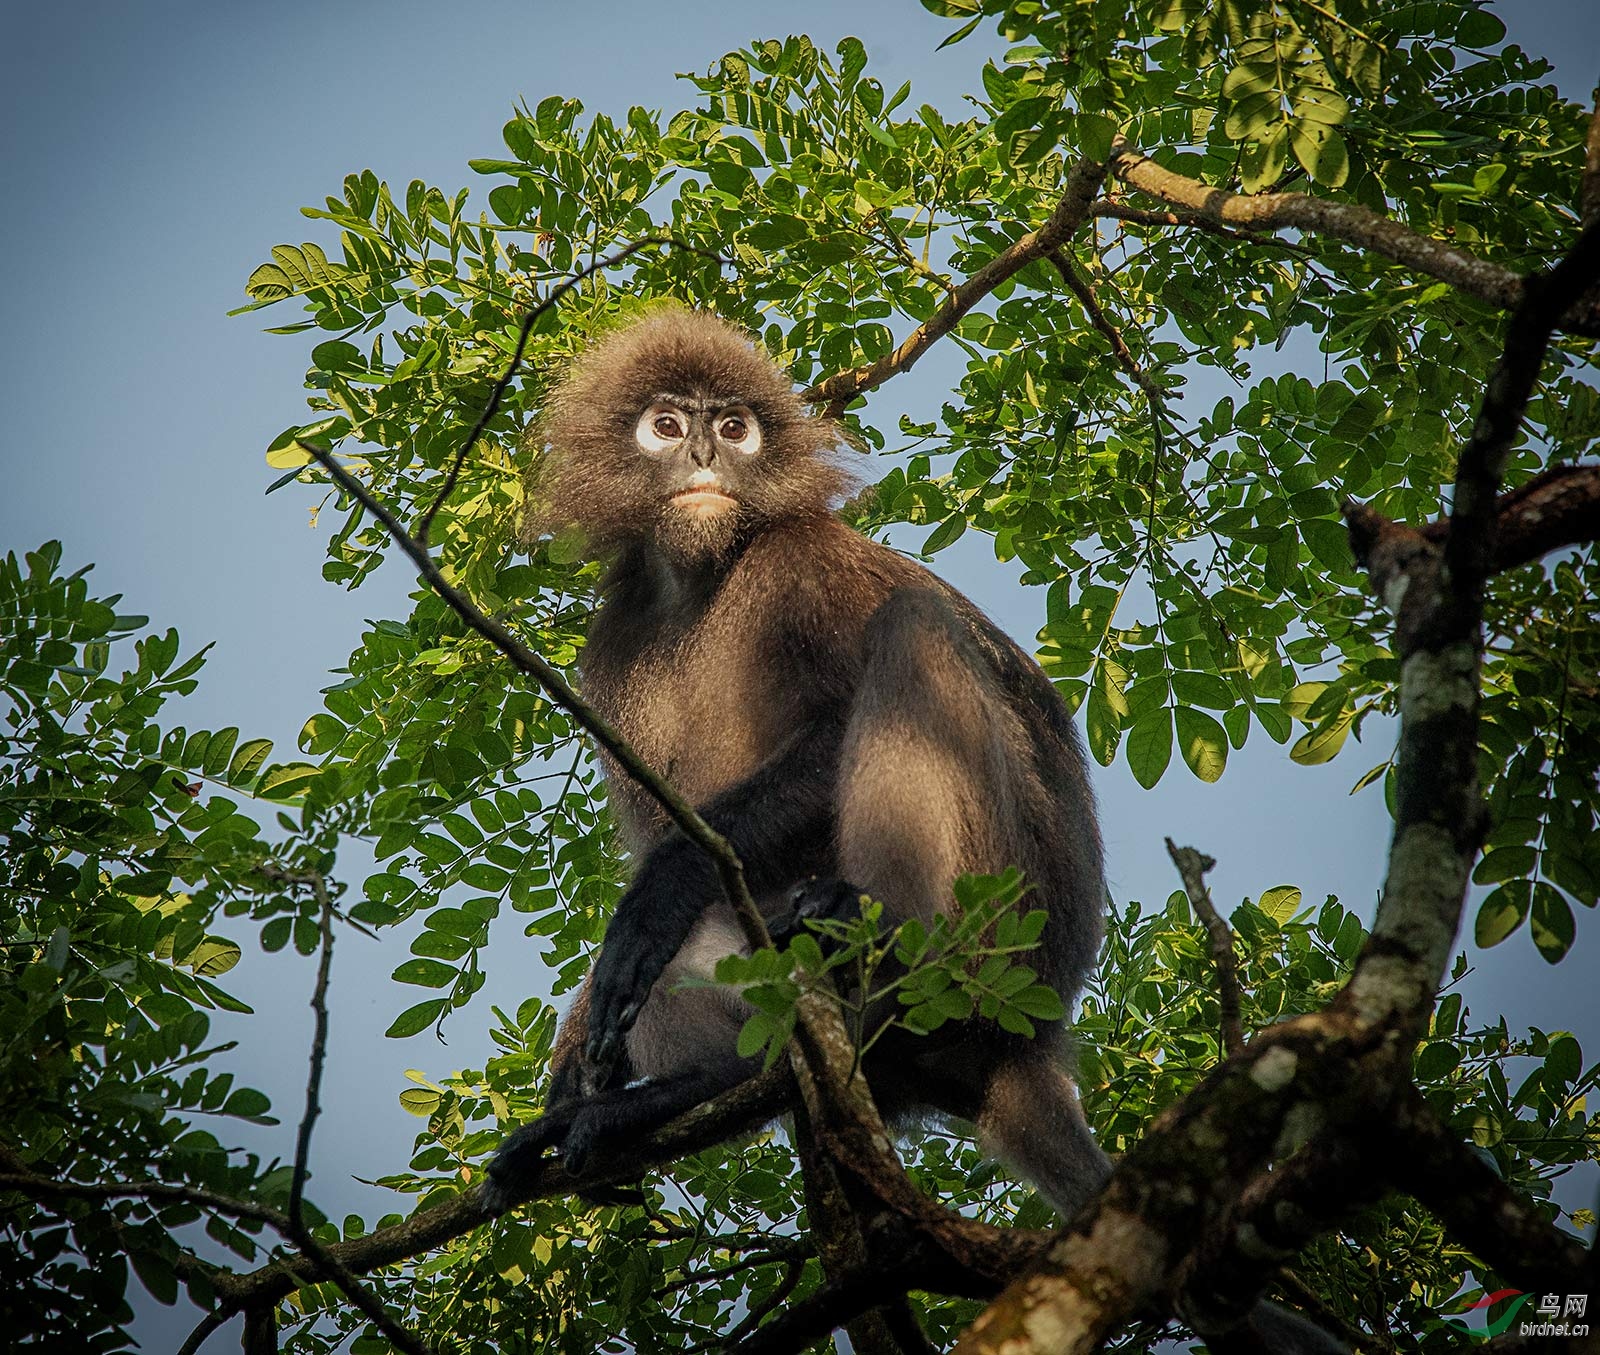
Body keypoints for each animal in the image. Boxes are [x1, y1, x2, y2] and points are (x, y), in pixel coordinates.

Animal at [486, 310, 1350, 1355]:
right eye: (666, 425)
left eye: (733, 427)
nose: (702, 454)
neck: (704, 577)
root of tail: (1028, 1042)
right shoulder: (613, 647)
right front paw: (582, 1072)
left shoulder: (803, 559)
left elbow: (745, 808)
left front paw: (651, 907)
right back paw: (696, 1086)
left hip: (1018, 913)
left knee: (915, 629)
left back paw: (884, 935)